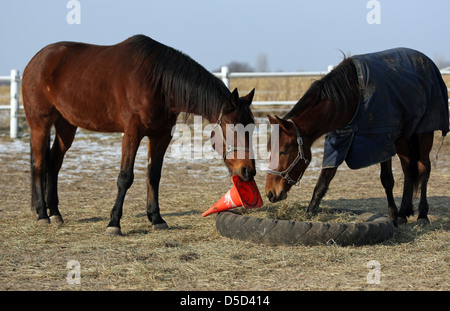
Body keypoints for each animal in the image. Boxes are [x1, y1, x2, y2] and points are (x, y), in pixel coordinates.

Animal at [22, 34, 256, 235]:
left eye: (252, 127)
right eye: (233, 127)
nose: (248, 170)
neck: (157, 82)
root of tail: (36, 60)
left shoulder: (161, 135)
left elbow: (153, 175)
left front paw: (156, 218)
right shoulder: (132, 133)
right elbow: (125, 177)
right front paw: (114, 223)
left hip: (66, 126)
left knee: (54, 163)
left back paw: (55, 213)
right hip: (40, 124)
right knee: (39, 165)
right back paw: (42, 214)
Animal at [266, 49, 448, 229]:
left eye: (282, 152)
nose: (270, 193)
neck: (350, 97)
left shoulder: (382, 142)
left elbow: (387, 180)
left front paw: (392, 217)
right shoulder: (339, 142)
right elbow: (323, 181)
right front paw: (309, 215)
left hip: (424, 133)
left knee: (423, 168)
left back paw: (422, 215)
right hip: (403, 137)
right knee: (408, 169)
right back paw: (404, 213)